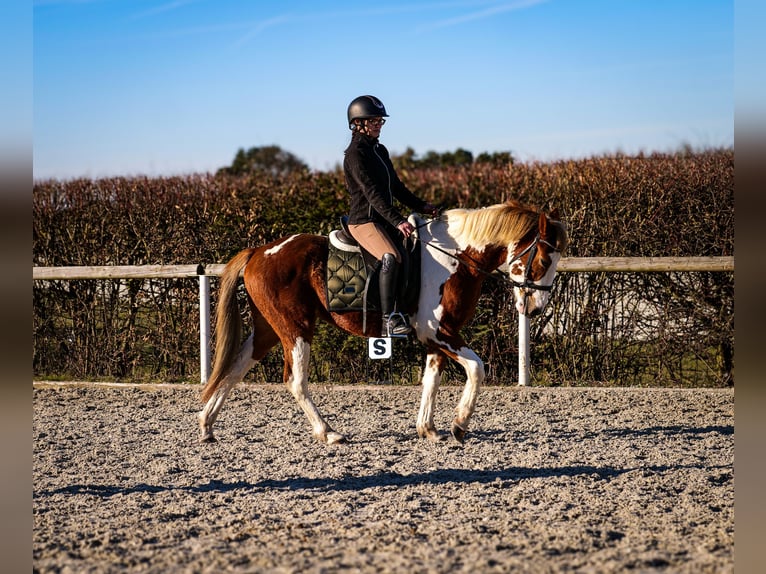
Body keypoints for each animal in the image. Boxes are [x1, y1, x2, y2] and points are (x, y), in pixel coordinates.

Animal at [198, 200, 568, 448]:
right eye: (543, 259)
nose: (536, 307)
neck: (456, 259)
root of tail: (260, 251)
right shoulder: (440, 332)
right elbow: (477, 368)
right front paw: (460, 424)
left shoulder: (437, 338)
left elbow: (431, 380)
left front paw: (428, 429)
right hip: (296, 328)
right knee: (295, 381)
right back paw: (328, 433)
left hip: (268, 330)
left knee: (235, 368)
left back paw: (207, 425)